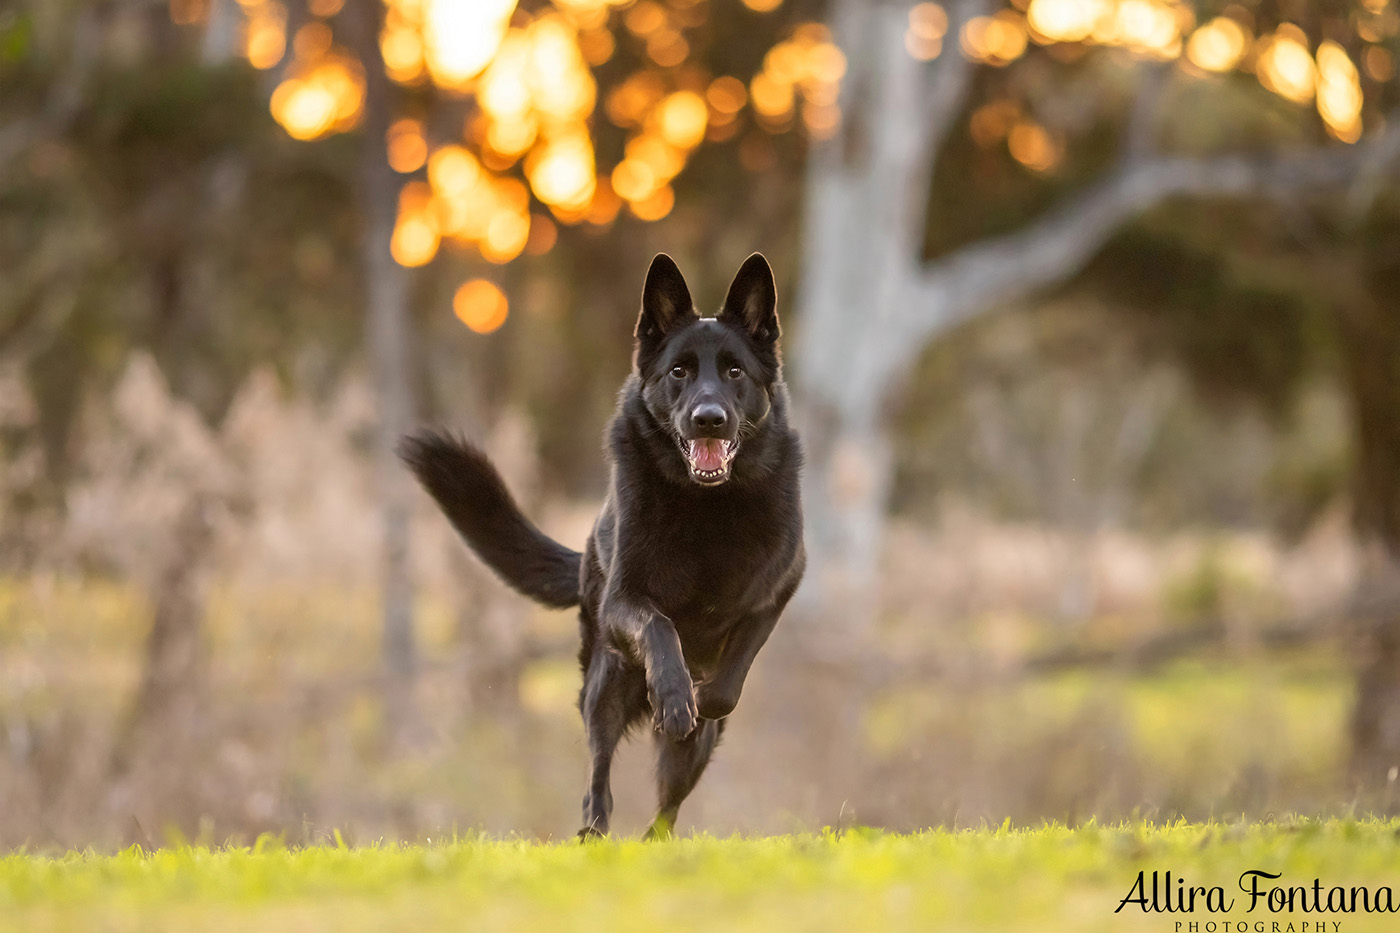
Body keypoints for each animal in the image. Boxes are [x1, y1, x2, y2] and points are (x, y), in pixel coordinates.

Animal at [400, 252, 806, 834]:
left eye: (735, 372)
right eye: (679, 371)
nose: (708, 419)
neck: (708, 505)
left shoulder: (776, 595)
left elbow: (731, 677)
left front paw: (701, 698)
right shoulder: (624, 602)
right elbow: (659, 626)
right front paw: (675, 694)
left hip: (683, 751)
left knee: (668, 806)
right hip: (605, 681)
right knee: (599, 769)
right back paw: (594, 827)